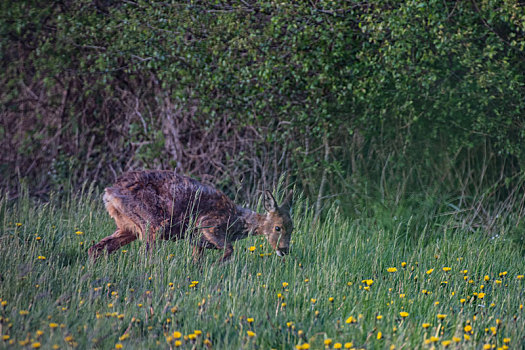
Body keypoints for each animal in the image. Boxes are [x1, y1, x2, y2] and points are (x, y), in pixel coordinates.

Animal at [89, 170, 294, 262]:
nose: (284, 249)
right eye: (277, 227)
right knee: (145, 255)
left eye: (292, 228)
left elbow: (198, 261)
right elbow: (229, 249)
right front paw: (217, 265)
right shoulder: (208, 225)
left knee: (97, 248)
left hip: (127, 226)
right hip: (151, 223)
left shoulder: (197, 242)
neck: (235, 221)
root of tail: (109, 193)